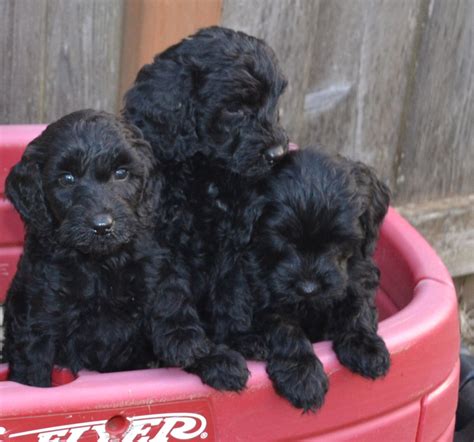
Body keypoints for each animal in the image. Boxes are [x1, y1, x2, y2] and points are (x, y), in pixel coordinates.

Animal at [122, 27, 288, 358]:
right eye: (234, 108)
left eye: (275, 103)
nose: (278, 154)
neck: (206, 174)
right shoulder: (162, 248)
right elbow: (171, 292)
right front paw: (185, 341)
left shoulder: (234, 245)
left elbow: (232, 291)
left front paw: (239, 336)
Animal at [243, 148, 390, 410]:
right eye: (284, 238)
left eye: (337, 240)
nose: (308, 289)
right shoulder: (263, 290)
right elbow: (283, 326)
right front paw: (301, 374)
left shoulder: (358, 273)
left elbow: (358, 305)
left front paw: (366, 346)